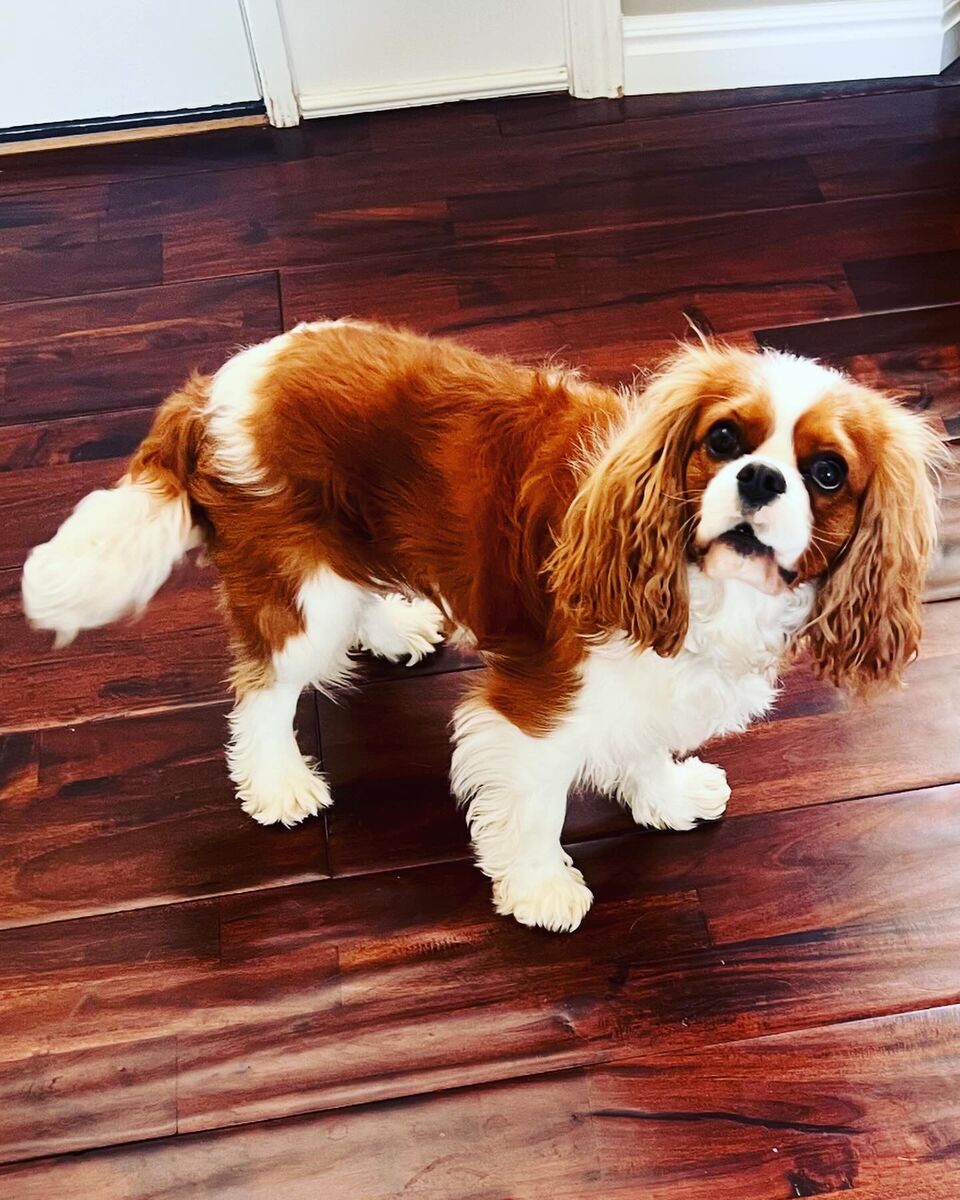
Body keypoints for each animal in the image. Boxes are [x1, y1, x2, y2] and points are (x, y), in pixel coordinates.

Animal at [22, 320, 942, 932]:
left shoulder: (648, 678)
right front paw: (539, 887)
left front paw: (665, 796)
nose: (758, 480)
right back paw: (278, 781)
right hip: (299, 589)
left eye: (827, 474)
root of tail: (213, 389)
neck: (706, 587)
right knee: (264, 691)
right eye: (722, 439)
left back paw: (394, 626)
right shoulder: (538, 702)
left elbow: (643, 743)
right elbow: (534, 803)